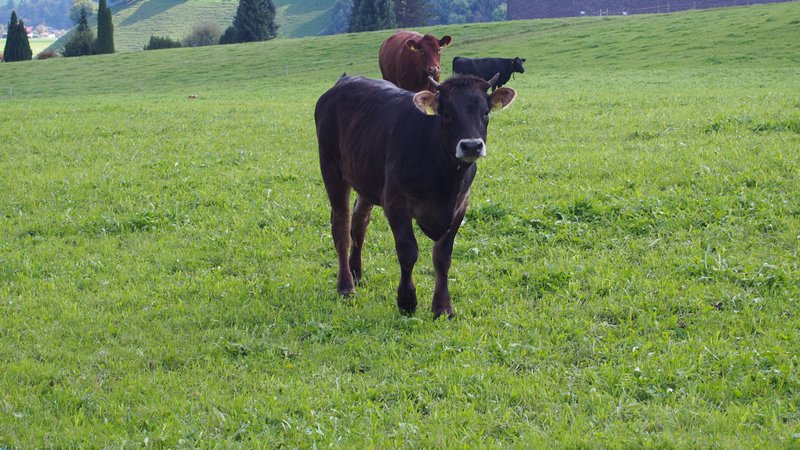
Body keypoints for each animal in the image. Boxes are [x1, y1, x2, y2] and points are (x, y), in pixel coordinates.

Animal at [316, 74, 516, 316]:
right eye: (446, 113)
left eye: (485, 113)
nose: (471, 146)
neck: (444, 178)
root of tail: (345, 80)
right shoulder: (395, 203)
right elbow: (408, 251)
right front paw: (407, 300)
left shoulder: (460, 206)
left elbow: (443, 256)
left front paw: (442, 307)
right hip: (331, 169)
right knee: (342, 227)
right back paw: (346, 286)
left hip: (365, 177)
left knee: (359, 224)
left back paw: (357, 274)